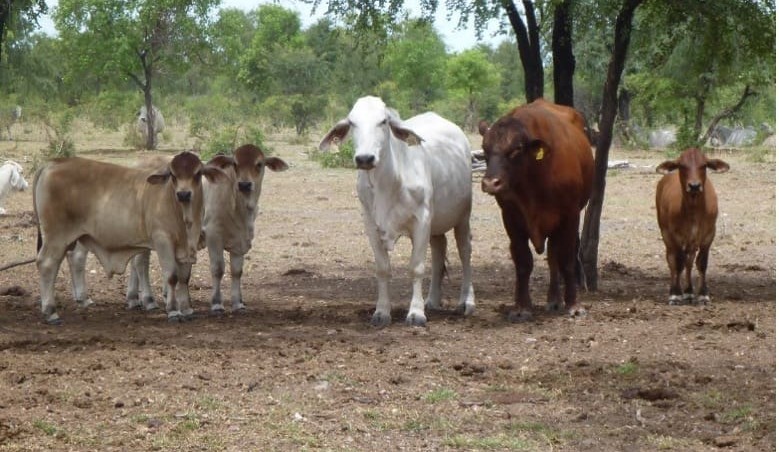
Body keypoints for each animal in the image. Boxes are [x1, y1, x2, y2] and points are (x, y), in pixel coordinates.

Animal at [33, 151, 225, 325]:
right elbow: (171, 276)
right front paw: (173, 311)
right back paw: (51, 311)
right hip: (56, 237)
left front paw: (187, 310)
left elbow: (184, 278)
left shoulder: (186, 248)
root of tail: (52, 163)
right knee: (47, 264)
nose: (183, 194)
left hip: (72, 238)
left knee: (66, 260)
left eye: (198, 173)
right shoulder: (162, 240)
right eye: (173, 174)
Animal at [319, 96, 475, 327]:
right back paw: (432, 300)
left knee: (465, 252)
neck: (388, 183)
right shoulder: (371, 225)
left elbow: (416, 267)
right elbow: (383, 268)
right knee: (439, 252)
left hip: (463, 216)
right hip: (436, 225)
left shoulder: (422, 220)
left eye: (383, 121)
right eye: (352, 122)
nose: (365, 158)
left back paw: (467, 301)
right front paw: (382, 312)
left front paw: (416, 313)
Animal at [478, 98, 595, 322]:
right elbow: (523, 262)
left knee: (554, 257)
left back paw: (556, 300)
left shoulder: (570, 216)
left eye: (516, 149)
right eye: (485, 149)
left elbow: (567, 260)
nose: (490, 183)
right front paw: (522, 307)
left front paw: (574, 305)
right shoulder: (511, 218)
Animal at [655, 147, 730, 305]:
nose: (694, 186)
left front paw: (702, 294)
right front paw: (676, 294)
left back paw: (689, 291)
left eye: (704, 165)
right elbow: (678, 263)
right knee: (672, 260)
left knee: (689, 261)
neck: (694, 210)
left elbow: (701, 263)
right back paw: (675, 290)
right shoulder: (674, 235)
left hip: (692, 241)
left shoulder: (709, 235)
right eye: (682, 165)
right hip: (666, 234)